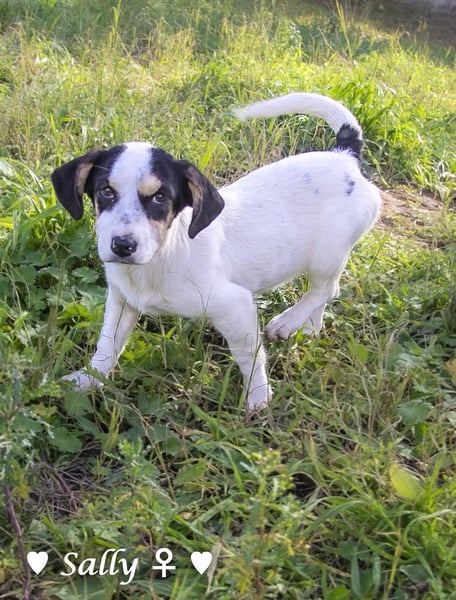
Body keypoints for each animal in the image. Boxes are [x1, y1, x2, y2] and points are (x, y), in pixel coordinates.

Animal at [52, 93, 382, 410]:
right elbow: (108, 345)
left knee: (325, 289)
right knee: (327, 291)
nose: (122, 246)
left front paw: (257, 397)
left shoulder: (234, 306)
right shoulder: (122, 301)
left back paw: (287, 322)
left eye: (161, 197)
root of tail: (345, 157)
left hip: (328, 253)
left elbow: (250, 357)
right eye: (105, 192)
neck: (159, 258)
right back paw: (310, 327)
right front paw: (88, 380)